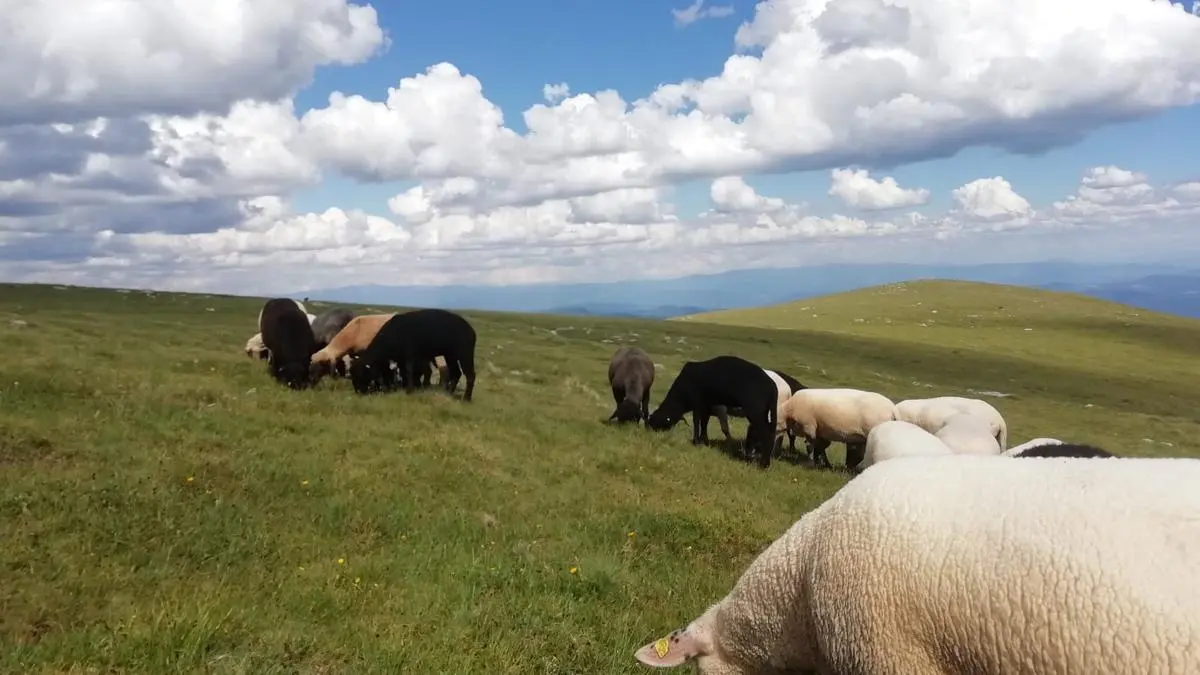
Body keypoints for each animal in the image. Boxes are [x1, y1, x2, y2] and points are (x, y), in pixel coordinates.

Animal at [646, 355, 778, 468]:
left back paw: (763, 463)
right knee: (770, 432)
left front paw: (696, 441)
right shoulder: (707, 406)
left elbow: (696, 421)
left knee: (766, 434)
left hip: (756, 412)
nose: (648, 429)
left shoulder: (698, 404)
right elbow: (704, 423)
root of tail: (773, 387)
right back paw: (764, 461)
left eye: (654, 420)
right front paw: (704, 441)